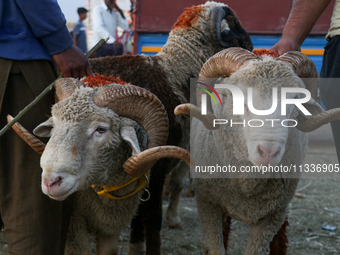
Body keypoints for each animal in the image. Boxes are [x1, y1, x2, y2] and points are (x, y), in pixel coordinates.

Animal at [174, 46, 340, 254]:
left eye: (295, 99)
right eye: (237, 97)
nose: (268, 152)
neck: (247, 185)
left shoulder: (273, 215)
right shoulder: (208, 203)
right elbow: (216, 247)